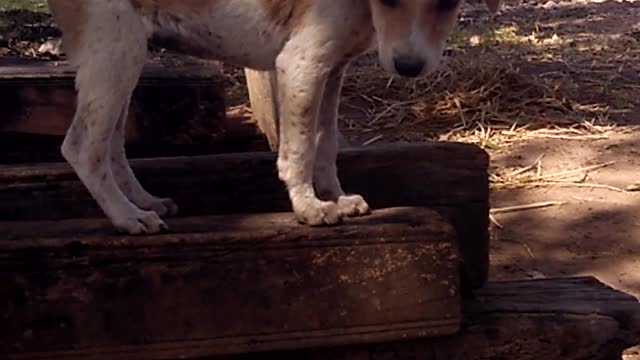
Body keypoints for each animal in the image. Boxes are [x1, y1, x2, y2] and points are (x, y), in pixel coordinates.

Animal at [47, 0, 502, 235]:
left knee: (111, 146)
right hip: (117, 50)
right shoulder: (301, 66)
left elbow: (325, 145)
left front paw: (335, 196)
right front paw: (310, 207)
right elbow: (299, 151)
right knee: (83, 148)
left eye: (445, 4)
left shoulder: (333, 69)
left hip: (122, 59)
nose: (408, 67)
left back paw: (141, 200)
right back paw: (126, 217)